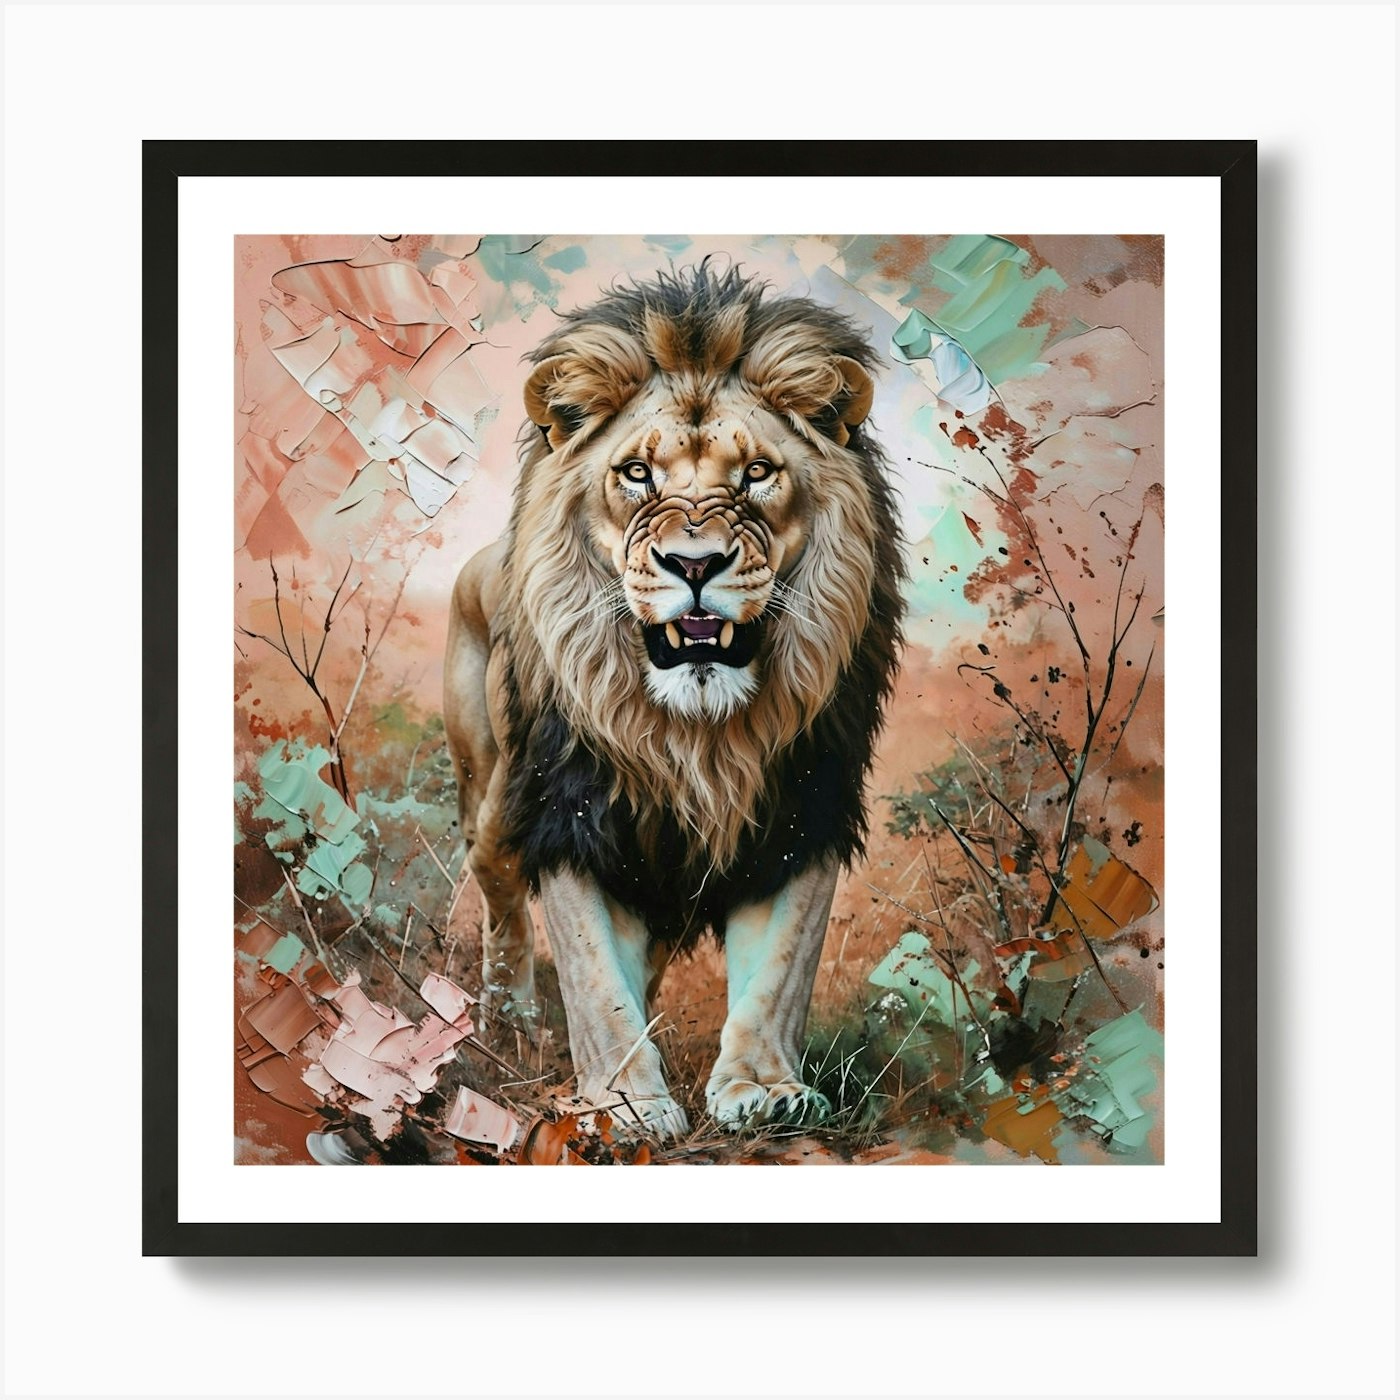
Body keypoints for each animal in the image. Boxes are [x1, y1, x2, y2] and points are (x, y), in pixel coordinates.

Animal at [444, 263, 904, 1139]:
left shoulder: (804, 809)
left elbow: (779, 973)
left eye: (756, 473)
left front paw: (762, 1088)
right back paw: (508, 1021)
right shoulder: (572, 812)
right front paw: (622, 1101)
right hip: (493, 786)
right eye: (636, 474)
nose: (696, 564)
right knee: (496, 885)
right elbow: (595, 981)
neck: (696, 736)